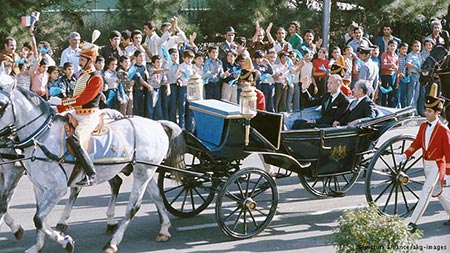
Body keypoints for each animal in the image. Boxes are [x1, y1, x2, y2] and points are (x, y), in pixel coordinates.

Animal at [0, 85, 185, 253]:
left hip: (142, 172)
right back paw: (164, 229)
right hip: (144, 169)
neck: (41, 138)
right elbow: (39, 218)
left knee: (133, 207)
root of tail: (157, 124)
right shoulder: (39, 187)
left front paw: (66, 242)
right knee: (156, 196)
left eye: (1, 105)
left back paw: (112, 243)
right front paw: (38, 246)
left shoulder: (54, 189)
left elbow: (36, 218)